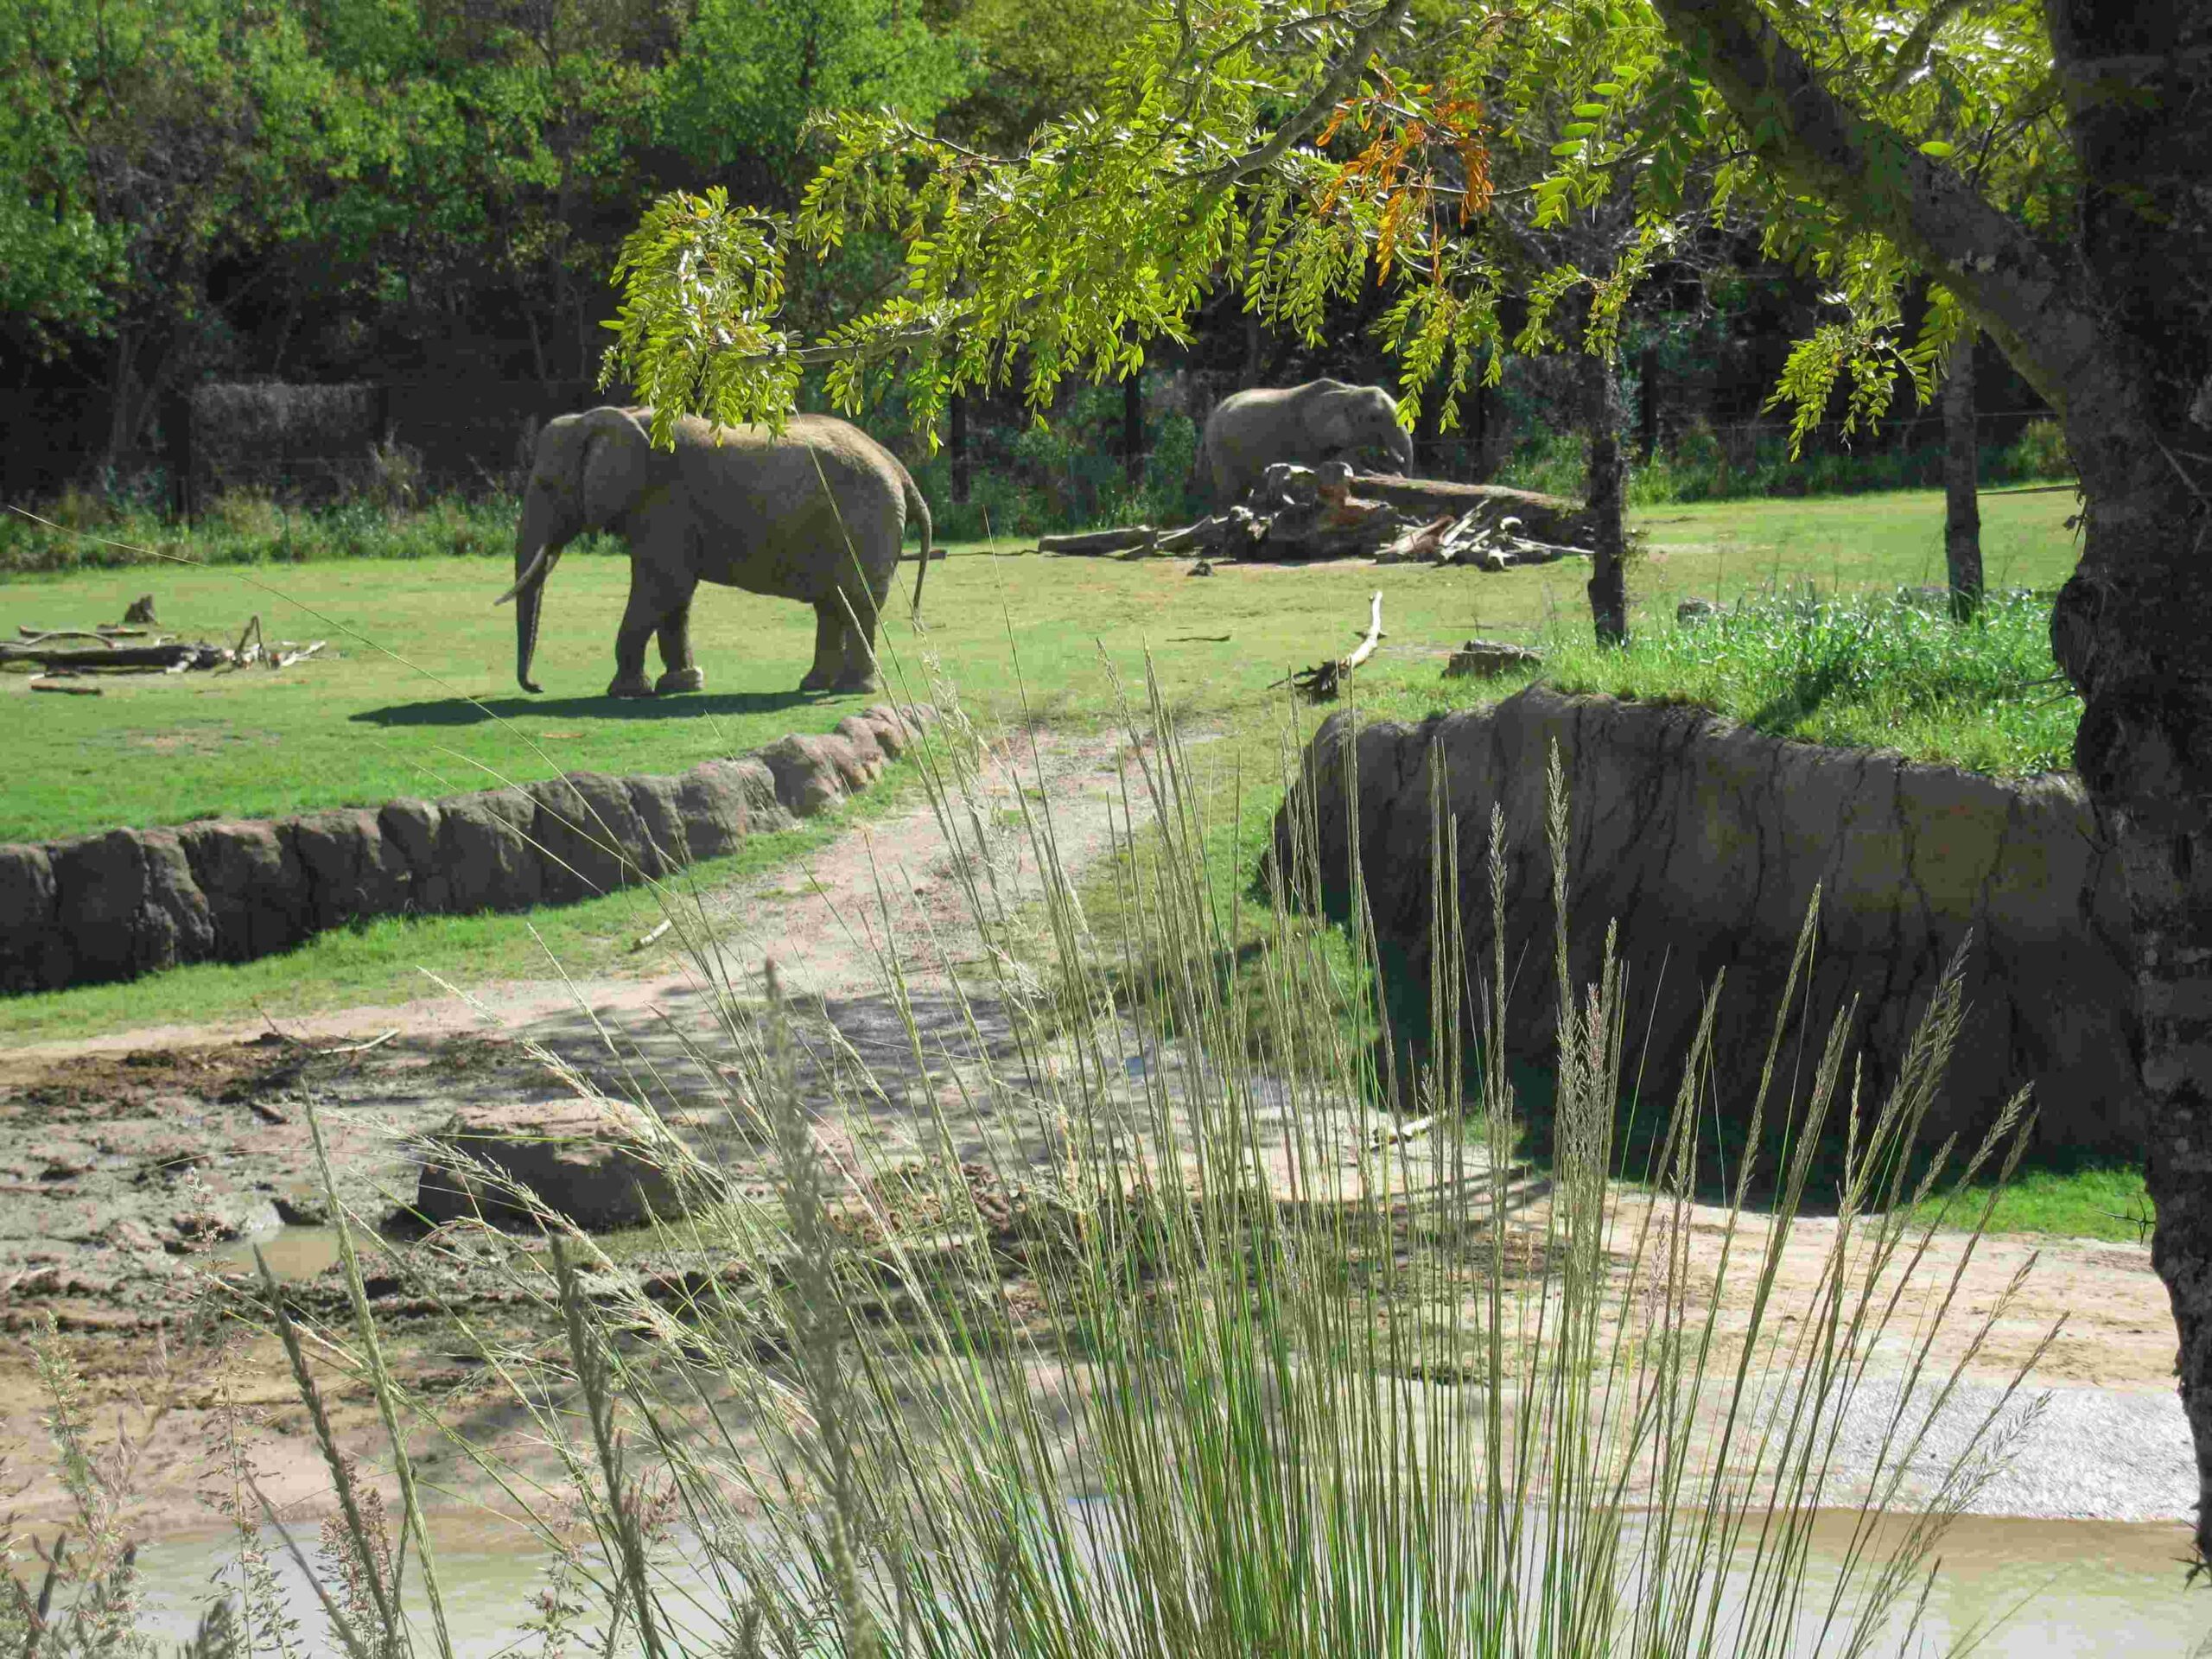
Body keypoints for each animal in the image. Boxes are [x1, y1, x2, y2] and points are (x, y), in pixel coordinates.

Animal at [498, 407, 929, 698]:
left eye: (547, 485)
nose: (537, 686)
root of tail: (898, 467)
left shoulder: (665, 503)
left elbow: (664, 587)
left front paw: (626, 691)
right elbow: (674, 597)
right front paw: (682, 685)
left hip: (865, 521)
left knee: (856, 602)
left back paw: (851, 690)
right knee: (833, 604)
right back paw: (814, 685)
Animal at [1194, 380, 1415, 511]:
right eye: (1374, 418)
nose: (1400, 469)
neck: (1347, 392)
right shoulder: (1305, 433)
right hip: (1218, 444)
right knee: (1231, 489)